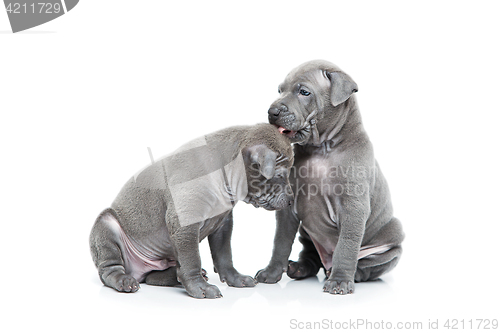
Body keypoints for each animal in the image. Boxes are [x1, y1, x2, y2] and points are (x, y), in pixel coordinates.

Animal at [90, 122, 294, 298]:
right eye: (280, 175)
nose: (292, 200)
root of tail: (138, 272)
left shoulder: (222, 225)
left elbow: (224, 255)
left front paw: (235, 278)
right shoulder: (184, 223)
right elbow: (192, 259)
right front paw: (200, 288)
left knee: (154, 276)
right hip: (106, 226)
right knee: (109, 269)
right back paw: (124, 281)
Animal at [256, 59, 404, 294]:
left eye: (304, 92)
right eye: (280, 90)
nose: (272, 111)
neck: (321, 149)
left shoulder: (353, 208)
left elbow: (346, 246)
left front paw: (340, 281)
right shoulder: (288, 208)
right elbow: (280, 242)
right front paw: (271, 272)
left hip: (393, 237)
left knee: (371, 264)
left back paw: (353, 274)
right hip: (307, 231)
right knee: (311, 255)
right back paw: (299, 268)